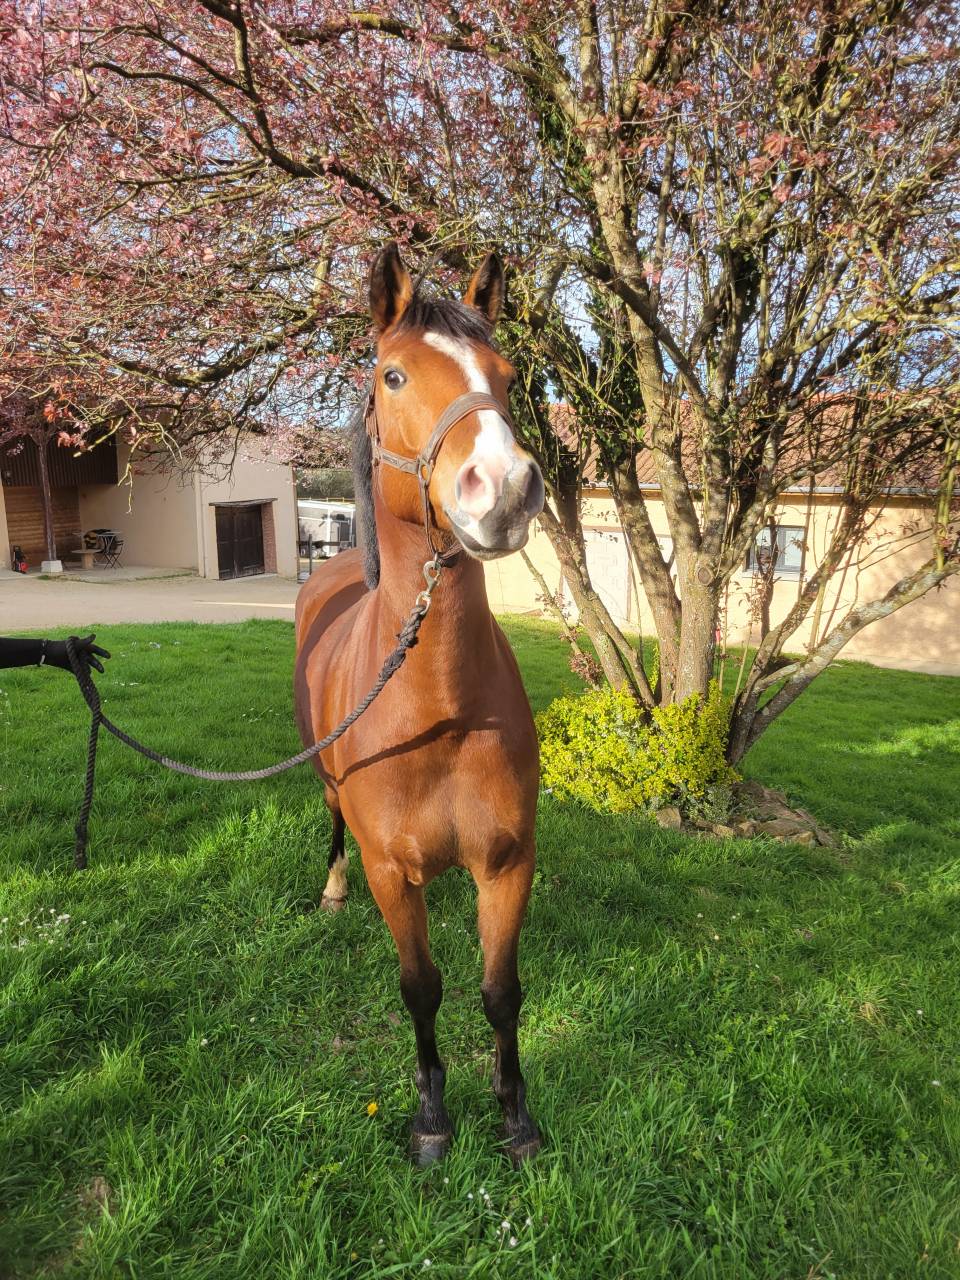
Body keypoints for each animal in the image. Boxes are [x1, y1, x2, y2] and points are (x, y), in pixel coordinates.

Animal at [294, 243, 546, 1165]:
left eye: (506, 377)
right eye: (394, 375)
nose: (503, 488)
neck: (439, 707)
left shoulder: (507, 864)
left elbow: (500, 991)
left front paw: (514, 1116)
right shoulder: (391, 875)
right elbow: (422, 989)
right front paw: (434, 1115)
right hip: (330, 790)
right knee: (331, 820)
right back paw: (330, 891)